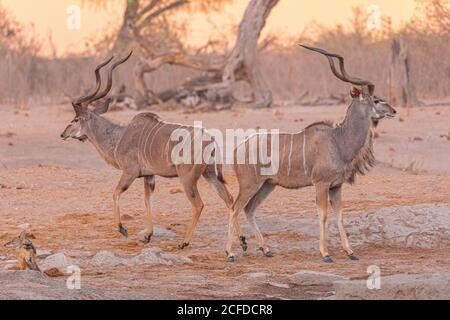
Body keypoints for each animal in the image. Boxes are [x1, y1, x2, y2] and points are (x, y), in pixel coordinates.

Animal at [62, 52, 243, 249]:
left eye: (76, 119)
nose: (63, 134)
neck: (119, 136)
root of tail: (210, 139)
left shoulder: (130, 172)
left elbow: (115, 193)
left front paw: (122, 229)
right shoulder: (148, 176)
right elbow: (147, 200)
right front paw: (147, 235)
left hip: (187, 178)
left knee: (199, 204)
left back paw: (184, 242)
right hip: (209, 174)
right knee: (230, 199)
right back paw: (242, 241)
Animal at [227, 45, 396, 264]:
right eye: (376, 99)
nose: (394, 110)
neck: (338, 140)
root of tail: (237, 149)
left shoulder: (336, 186)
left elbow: (339, 215)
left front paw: (350, 252)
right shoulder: (321, 184)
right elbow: (323, 214)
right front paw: (325, 254)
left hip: (267, 185)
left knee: (249, 209)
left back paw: (266, 250)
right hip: (250, 184)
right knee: (235, 208)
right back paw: (230, 253)